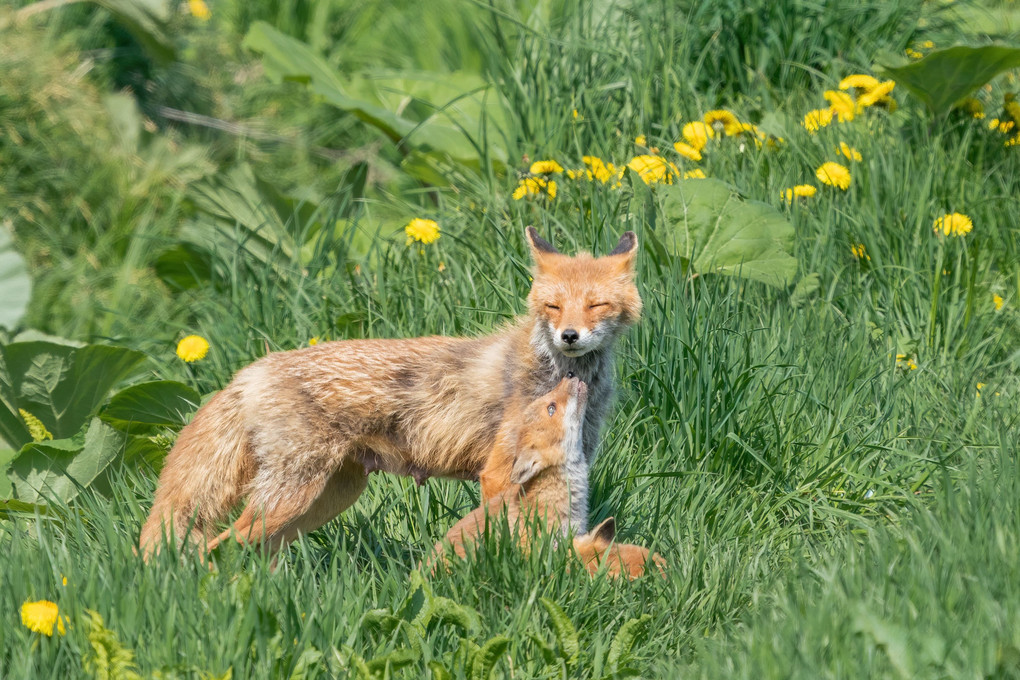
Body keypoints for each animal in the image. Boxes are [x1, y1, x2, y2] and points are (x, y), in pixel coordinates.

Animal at [142, 227, 636, 558]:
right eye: (553, 306)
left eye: (596, 305)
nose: (569, 336)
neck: (557, 373)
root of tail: (250, 371)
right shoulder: (498, 470)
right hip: (290, 497)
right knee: (218, 545)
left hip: (326, 500)